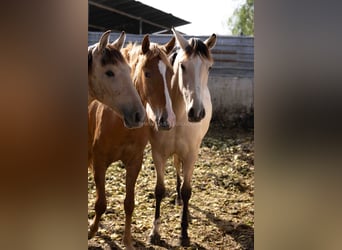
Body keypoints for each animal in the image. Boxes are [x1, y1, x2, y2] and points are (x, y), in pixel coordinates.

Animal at [87, 34, 176, 249]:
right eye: (147, 73)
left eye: (171, 73)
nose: (167, 119)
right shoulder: (99, 162)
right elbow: (101, 203)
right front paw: (92, 230)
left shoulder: (134, 163)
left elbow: (129, 203)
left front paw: (127, 240)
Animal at [149, 27, 216, 246]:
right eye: (182, 66)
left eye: (209, 67)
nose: (196, 112)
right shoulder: (158, 154)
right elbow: (159, 190)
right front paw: (155, 232)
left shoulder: (191, 154)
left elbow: (188, 191)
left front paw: (184, 233)